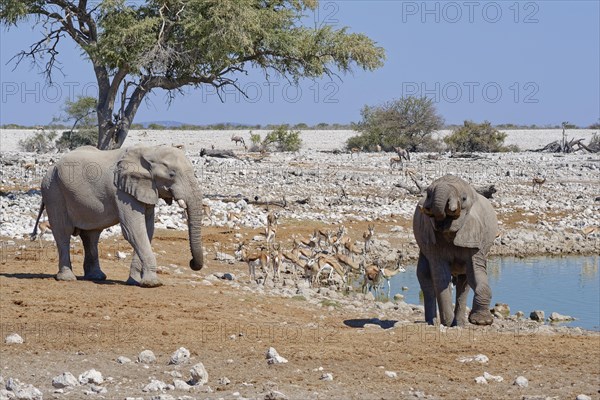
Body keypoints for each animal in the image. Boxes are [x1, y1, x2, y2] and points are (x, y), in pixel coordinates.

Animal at [35, 145, 204, 286]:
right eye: (171, 174)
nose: (191, 263)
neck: (150, 151)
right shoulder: (121, 192)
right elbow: (133, 230)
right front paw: (152, 283)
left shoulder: (144, 189)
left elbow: (147, 229)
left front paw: (135, 282)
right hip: (53, 191)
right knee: (63, 232)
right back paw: (67, 278)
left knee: (91, 235)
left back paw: (96, 277)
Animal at [412, 174, 496, 324]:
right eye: (429, 194)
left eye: (463, 199)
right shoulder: (433, 240)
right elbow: (441, 275)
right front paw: (447, 323)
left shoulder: (475, 236)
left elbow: (476, 272)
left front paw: (481, 322)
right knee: (425, 278)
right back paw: (432, 322)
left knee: (464, 283)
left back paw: (459, 324)